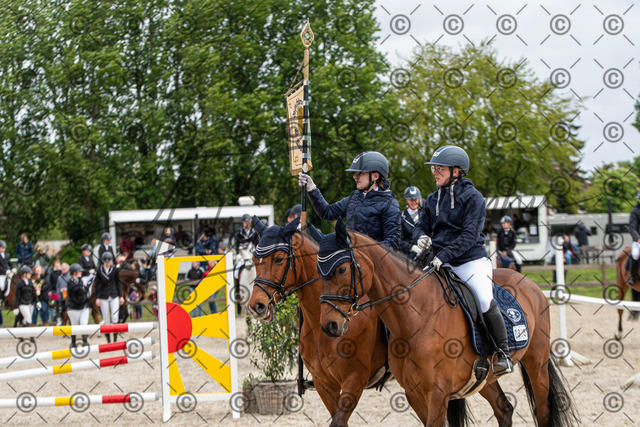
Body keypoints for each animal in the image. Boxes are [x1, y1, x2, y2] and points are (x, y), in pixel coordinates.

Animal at [318, 220, 578, 426]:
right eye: (320, 273)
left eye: (341, 269)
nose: (329, 325)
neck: (416, 317)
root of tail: (529, 283)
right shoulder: (415, 394)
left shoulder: (437, 394)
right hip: (484, 378)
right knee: (504, 409)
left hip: (537, 363)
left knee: (543, 412)